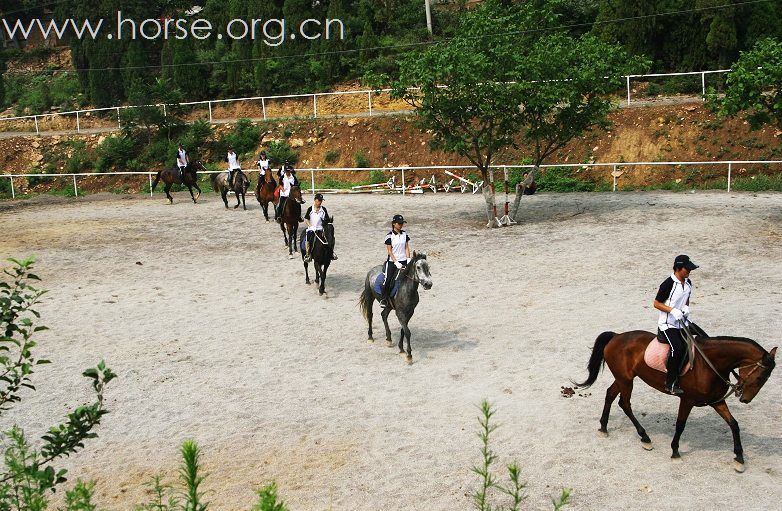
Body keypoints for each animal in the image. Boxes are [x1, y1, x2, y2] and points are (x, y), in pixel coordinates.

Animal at [576, 330, 776, 474]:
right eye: (760, 378)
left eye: (765, 379)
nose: (745, 399)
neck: (710, 364)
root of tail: (616, 336)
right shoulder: (687, 400)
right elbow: (680, 424)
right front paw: (675, 452)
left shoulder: (715, 401)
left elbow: (733, 424)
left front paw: (739, 459)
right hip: (626, 380)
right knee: (624, 404)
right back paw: (645, 437)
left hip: (623, 378)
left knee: (610, 395)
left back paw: (603, 427)